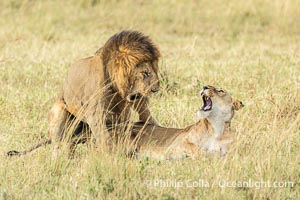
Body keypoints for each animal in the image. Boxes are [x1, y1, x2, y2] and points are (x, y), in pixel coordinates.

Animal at [7, 30, 161, 157]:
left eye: (155, 71)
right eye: (145, 73)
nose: (156, 89)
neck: (116, 88)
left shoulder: (132, 101)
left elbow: (145, 113)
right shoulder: (95, 113)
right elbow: (104, 137)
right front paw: (113, 155)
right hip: (59, 112)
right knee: (59, 144)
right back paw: (59, 160)